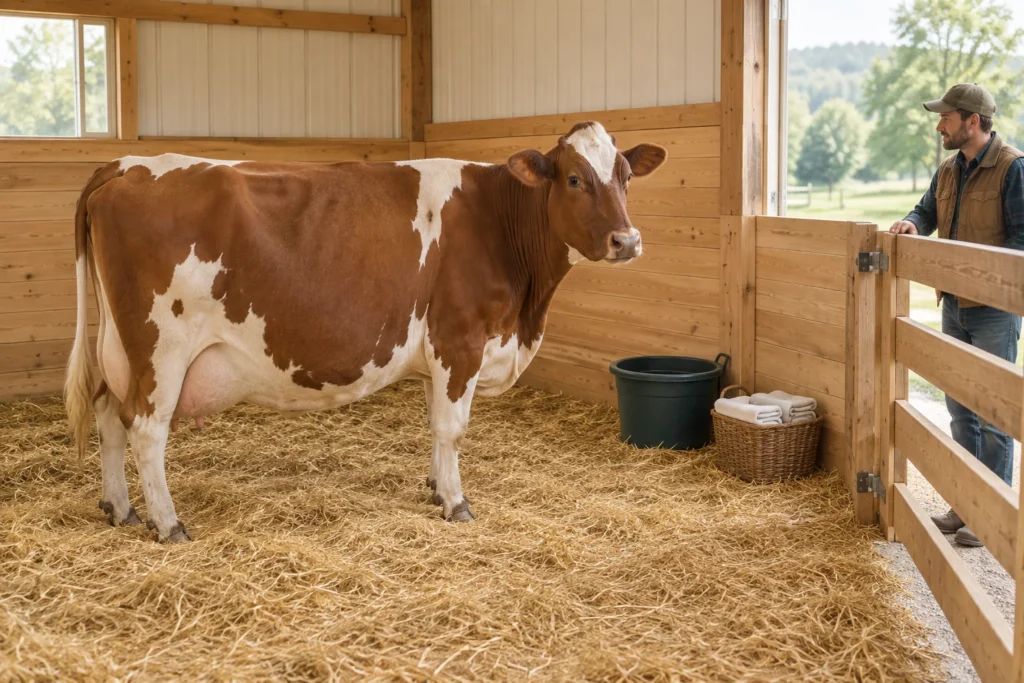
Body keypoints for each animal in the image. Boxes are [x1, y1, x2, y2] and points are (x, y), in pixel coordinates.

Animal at [64, 121, 667, 542]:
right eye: (574, 178)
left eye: (625, 177)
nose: (628, 241)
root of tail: (125, 164)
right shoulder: (460, 339)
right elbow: (452, 428)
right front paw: (457, 503)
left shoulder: (436, 353)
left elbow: (433, 425)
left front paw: (435, 488)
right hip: (161, 347)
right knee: (146, 430)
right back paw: (168, 524)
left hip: (120, 347)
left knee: (107, 412)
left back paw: (120, 508)